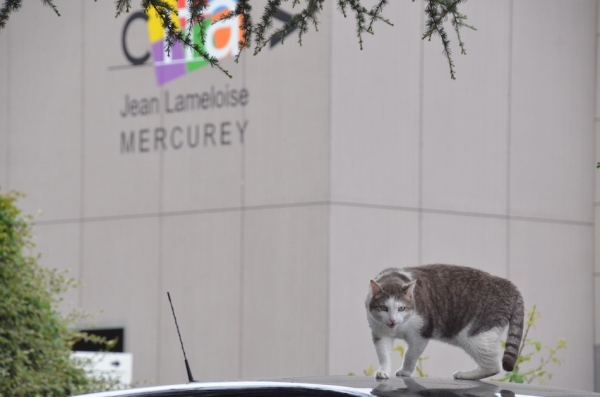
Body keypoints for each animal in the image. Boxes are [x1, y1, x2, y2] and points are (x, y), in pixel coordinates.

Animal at [364, 264, 524, 378]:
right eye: (384, 308)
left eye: (401, 308)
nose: (392, 320)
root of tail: (507, 284)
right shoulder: (380, 334)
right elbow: (384, 355)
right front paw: (384, 371)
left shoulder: (420, 335)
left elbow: (410, 355)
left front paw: (405, 371)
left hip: (476, 337)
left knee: (494, 366)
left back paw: (464, 375)